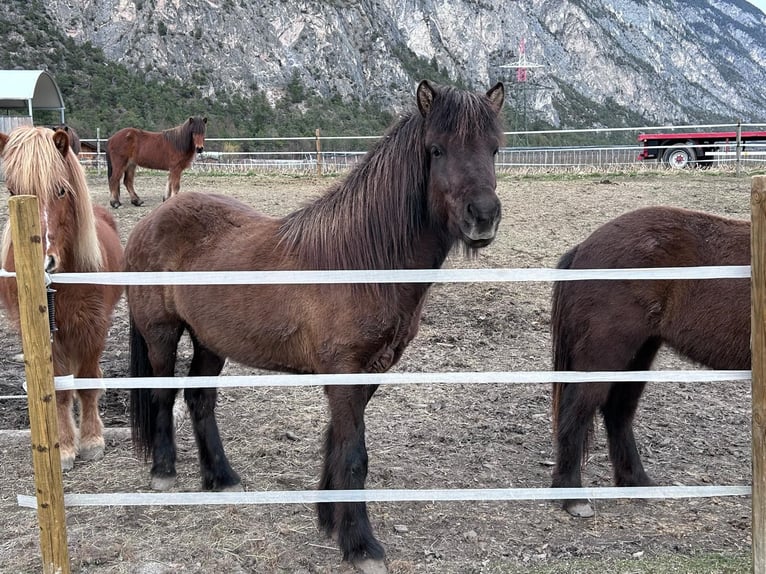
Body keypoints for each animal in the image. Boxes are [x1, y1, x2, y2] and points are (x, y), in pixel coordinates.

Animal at [0, 126, 124, 471]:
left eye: (60, 191)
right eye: (12, 190)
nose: (43, 263)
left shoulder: (94, 328)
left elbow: (87, 382)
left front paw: (92, 440)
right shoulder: (47, 338)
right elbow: (59, 392)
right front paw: (66, 447)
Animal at [125, 80, 504, 568]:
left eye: (494, 149)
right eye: (436, 149)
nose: (484, 217)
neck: (361, 259)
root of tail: (148, 221)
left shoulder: (369, 371)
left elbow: (337, 444)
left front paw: (330, 521)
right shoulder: (343, 372)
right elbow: (354, 454)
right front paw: (361, 545)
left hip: (210, 340)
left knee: (200, 400)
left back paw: (222, 477)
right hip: (162, 333)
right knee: (162, 394)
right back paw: (164, 471)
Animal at [550, 205, 750, 518]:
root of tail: (584, 246)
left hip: (640, 352)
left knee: (618, 412)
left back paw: (635, 481)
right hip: (607, 352)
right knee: (577, 411)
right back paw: (573, 495)